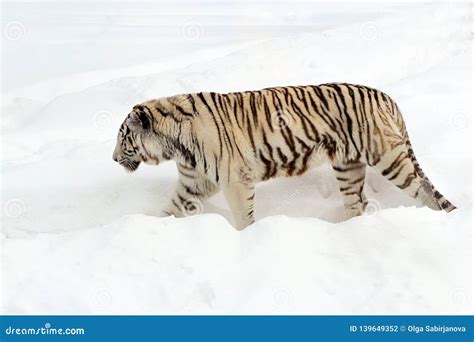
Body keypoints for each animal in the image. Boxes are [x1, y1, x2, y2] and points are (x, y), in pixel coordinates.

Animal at [112, 83, 456, 230]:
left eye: (123, 137)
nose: (114, 159)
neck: (175, 148)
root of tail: (387, 96)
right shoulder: (194, 183)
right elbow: (170, 209)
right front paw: (155, 227)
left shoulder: (235, 180)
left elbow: (243, 217)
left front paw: (247, 238)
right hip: (348, 165)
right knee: (356, 203)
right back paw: (339, 229)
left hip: (388, 158)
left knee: (423, 188)